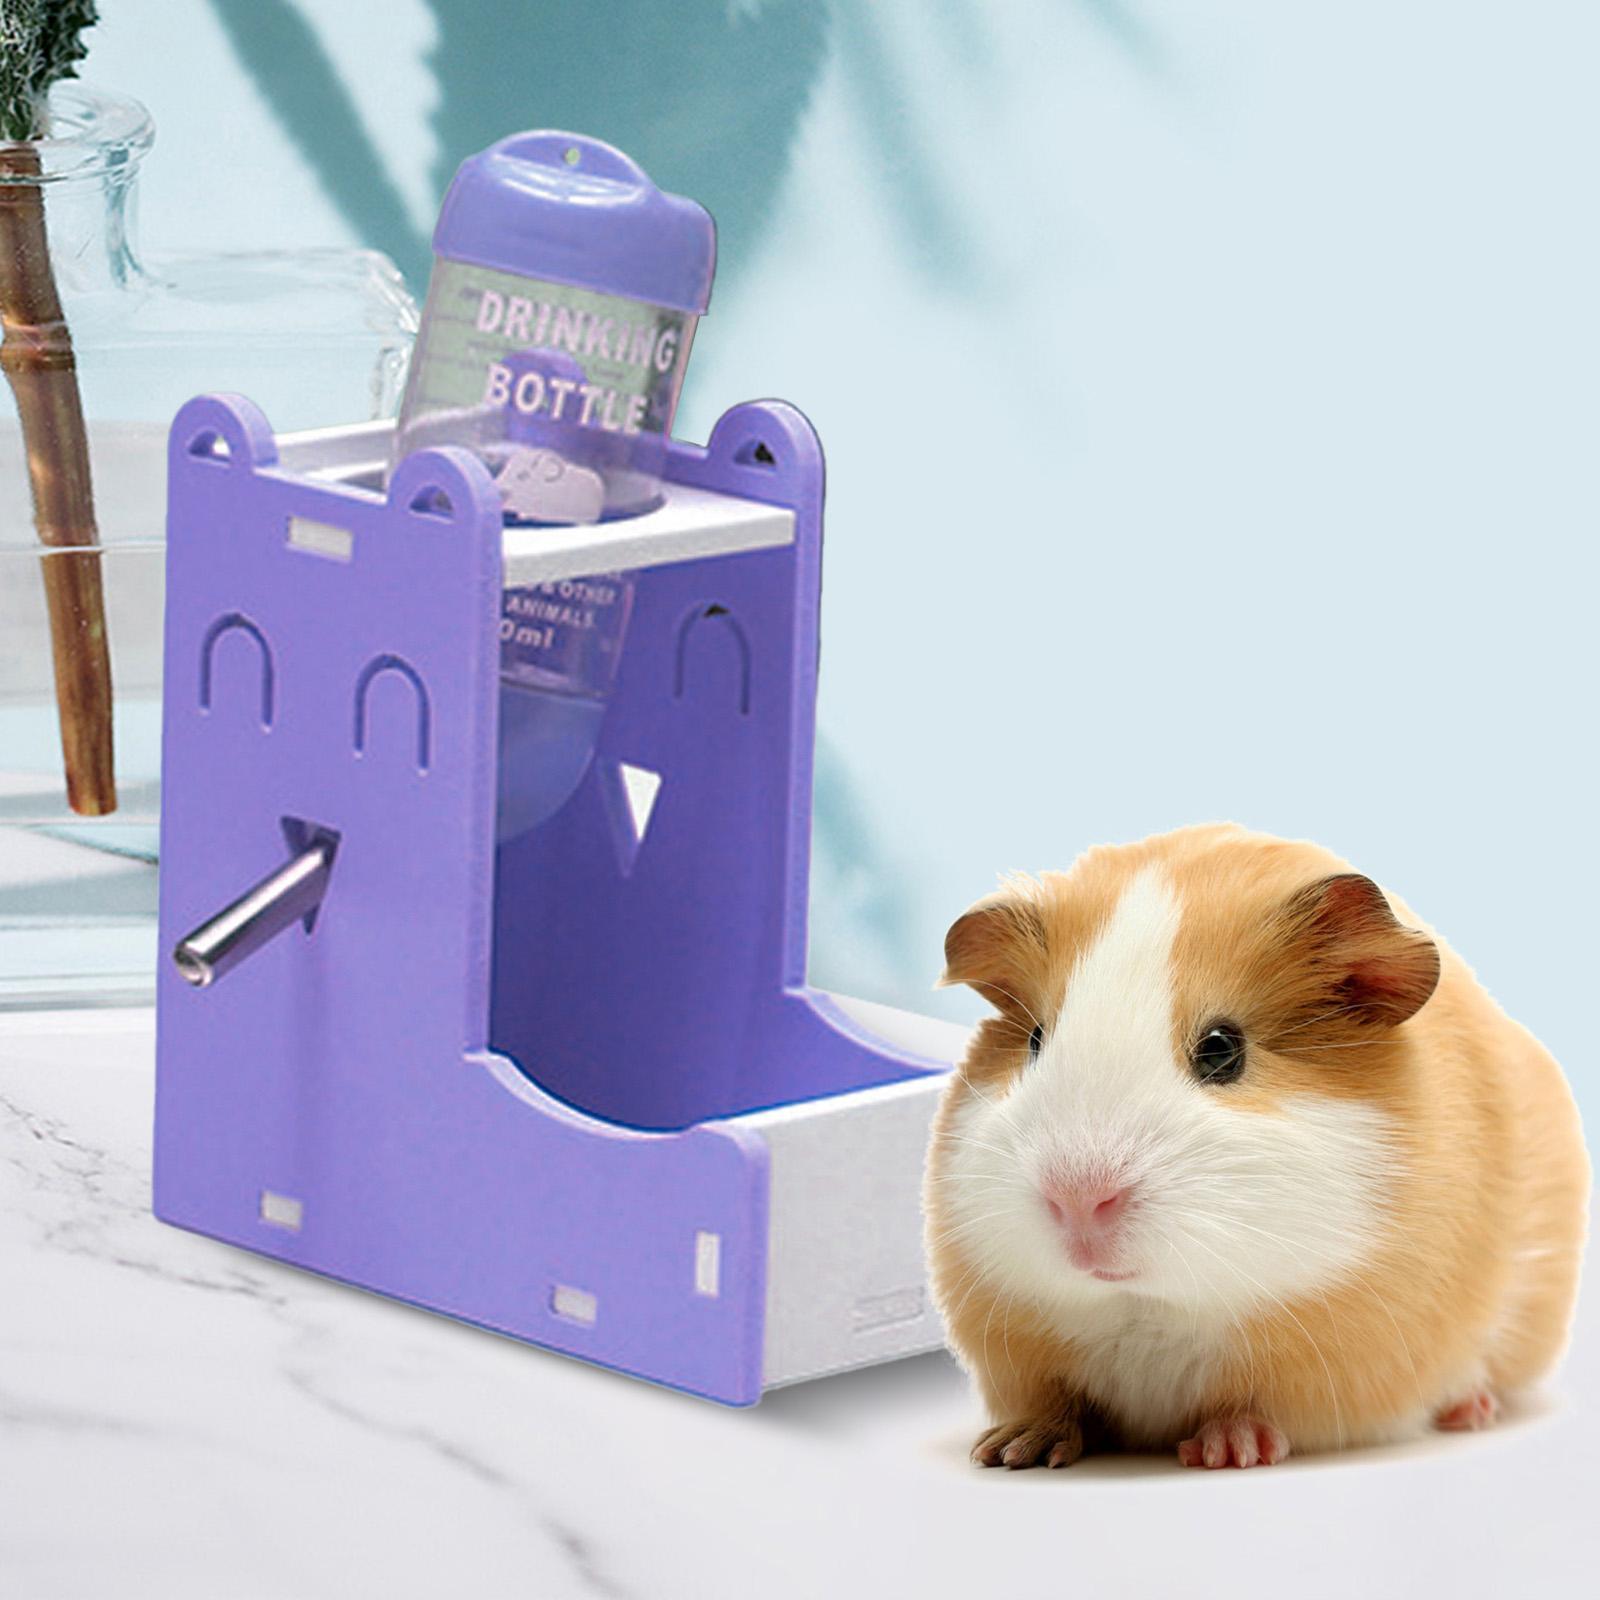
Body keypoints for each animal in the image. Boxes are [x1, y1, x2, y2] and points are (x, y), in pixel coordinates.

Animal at [924, 824, 1588, 1469]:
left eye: (1222, 1049)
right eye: (1036, 1041)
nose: (1078, 1200)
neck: (1146, 1308)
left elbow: (1253, 1409)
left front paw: (1226, 1452)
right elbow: (1058, 1404)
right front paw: (1008, 1451)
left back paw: (1470, 1412)